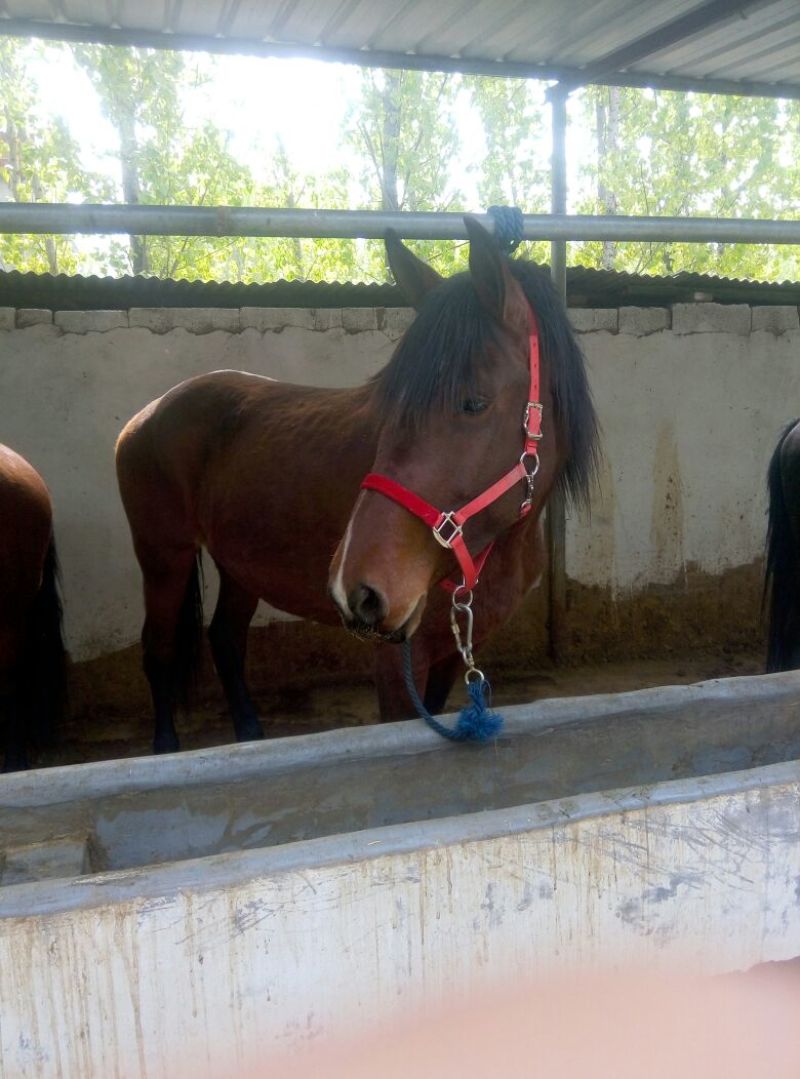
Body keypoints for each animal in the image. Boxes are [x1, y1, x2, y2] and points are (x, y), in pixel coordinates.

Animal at [116, 216, 599, 753]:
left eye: (474, 402)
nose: (358, 591)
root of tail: (150, 411)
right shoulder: (397, 661)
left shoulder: (453, 654)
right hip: (164, 557)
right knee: (159, 648)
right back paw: (165, 748)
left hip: (238, 563)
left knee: (225, 638)